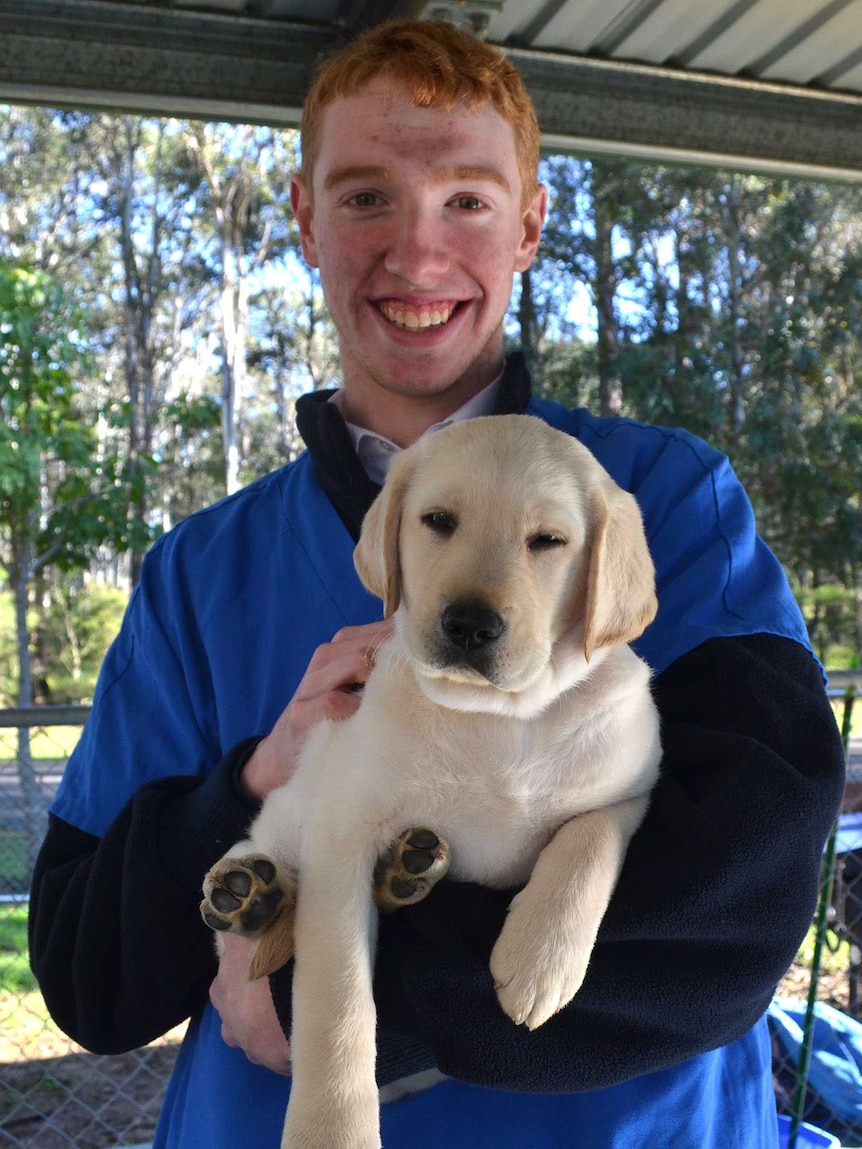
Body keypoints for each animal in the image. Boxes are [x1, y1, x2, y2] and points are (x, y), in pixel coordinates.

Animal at [201, 415, 662, 1149]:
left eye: (548, 541)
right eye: (439, 521)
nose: (469, 624)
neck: (495, 720)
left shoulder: (631, 782)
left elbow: (589, 843)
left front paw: (541, 960)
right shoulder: (341, 840)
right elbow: (336, 1010)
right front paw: (331, 1130)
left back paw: (401, 873)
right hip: (281, 826)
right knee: (251, 907)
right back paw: (251, 898)